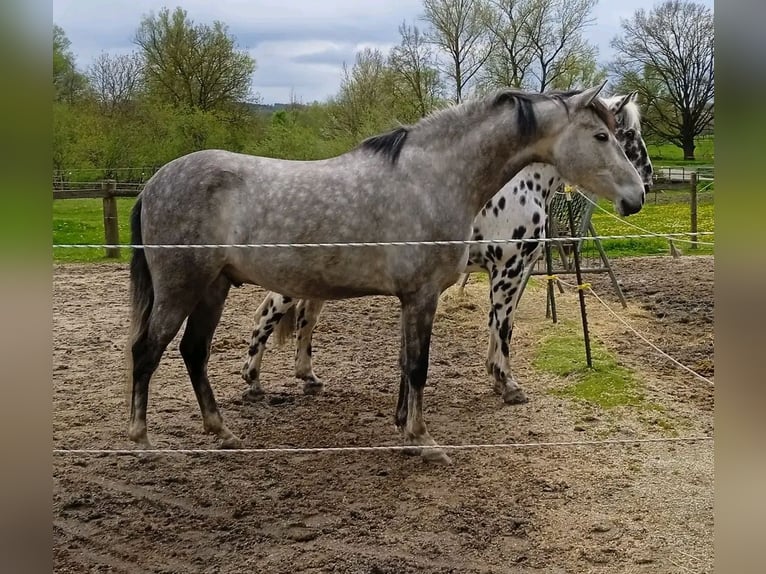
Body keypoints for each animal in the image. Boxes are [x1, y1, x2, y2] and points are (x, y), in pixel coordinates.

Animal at [241, 93, 653, 405]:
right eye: (622, 133)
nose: (645, 184)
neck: (520, 184)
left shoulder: (512, 271)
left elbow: (500, 324)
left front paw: (497, 377)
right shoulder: (508, 269)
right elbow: (502, 325)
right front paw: (507, 384)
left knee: (305, 319)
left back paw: (307, 377)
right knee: (267, 315)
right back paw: (253, 381)